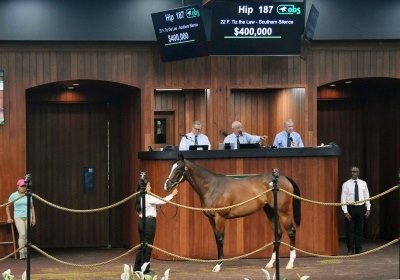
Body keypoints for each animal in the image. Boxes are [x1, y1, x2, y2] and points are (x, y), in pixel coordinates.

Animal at [164, 154, 302, 272]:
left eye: (179, 168)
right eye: (172, 167)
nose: (167, 185)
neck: (212, 187)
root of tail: (283, 178)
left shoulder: (220, 218)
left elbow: (220, 239)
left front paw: (218, 265)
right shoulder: (211, 219)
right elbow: (216, 239)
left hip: (283, 212)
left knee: (291, 232)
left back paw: (290, 263)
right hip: (270, 211)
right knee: (278, 233)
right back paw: (270, 263)